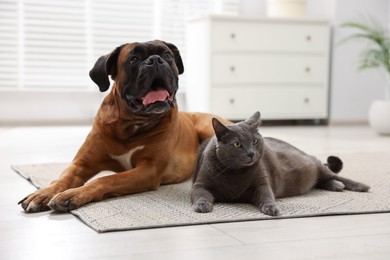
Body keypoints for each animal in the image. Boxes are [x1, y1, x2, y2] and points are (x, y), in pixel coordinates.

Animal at [19, 39, 229, 212]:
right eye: (133, 59)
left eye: (167, 55)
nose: (155, 60)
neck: (131, 125)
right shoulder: (82, 163)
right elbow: (63, 178)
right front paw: (43, 193)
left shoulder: (147, 170)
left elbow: (106, 179)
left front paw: (73, 194)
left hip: (207, 128)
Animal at [190, 111, 370, 215]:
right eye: (237, 144)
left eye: (255, 141)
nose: (251, 153)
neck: (235, 173)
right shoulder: (200, 184)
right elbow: (201, 194)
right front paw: (202, 205)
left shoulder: (262, 183)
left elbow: (266, 195)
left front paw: (271, 208)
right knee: (323, 180)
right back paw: (336, 186)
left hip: (315, 164)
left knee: (333, 174)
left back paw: (359, 186)